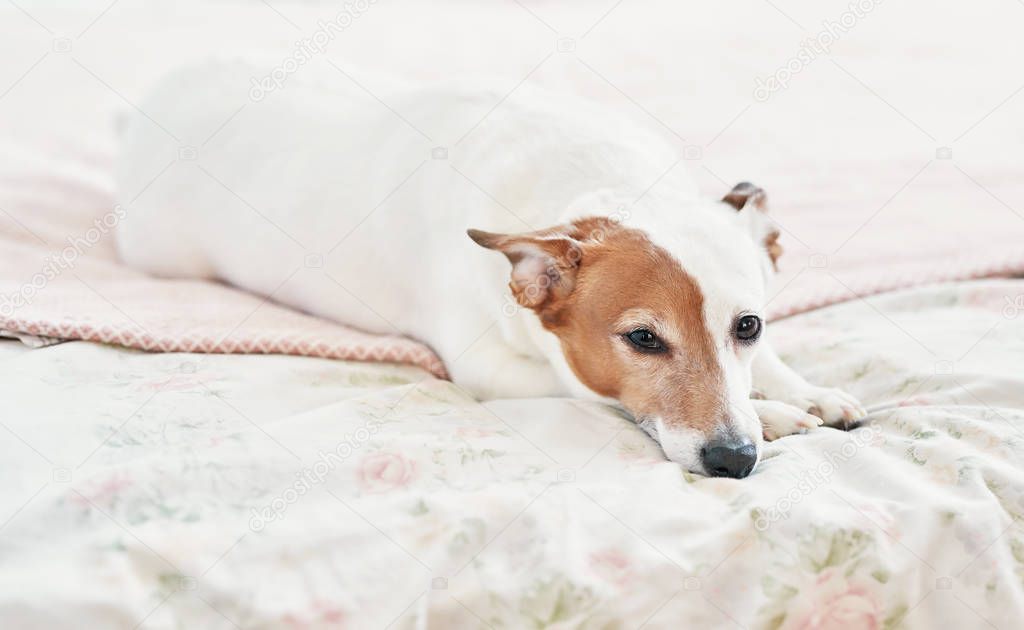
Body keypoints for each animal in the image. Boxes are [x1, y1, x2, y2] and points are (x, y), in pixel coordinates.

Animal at [114, 62, 864, 477]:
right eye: (643, 339)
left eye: (749, 326)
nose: (734, 461)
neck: (598, 177)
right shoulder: (493, 371)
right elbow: (587, 390)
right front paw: (776, 416)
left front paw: (804, 393)